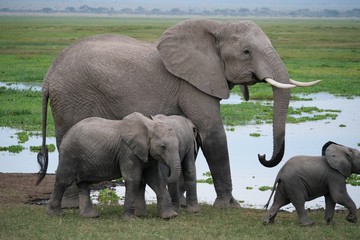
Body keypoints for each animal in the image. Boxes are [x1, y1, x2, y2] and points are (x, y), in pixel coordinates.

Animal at [36, 18, 318, 208]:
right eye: (246, 52)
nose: (262, 155)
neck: (216, 28)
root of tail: (49, 76)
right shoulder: (192, 83)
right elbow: (212, 133)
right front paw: (229, 206)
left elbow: (194, 139)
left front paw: (181, 202)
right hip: (72, 97)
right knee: (68, 140)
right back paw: (71, 205)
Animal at [47, 112, 183, 219]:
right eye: (163, 147)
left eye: (178, 145)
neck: (149, 126)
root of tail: (67, 133)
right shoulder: (128, 151)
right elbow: (133, 179)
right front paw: (129, 219)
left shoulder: (149, 154)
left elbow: (156, 180)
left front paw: (170, 216)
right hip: (70, 154)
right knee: (63, 180)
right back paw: (56, 214)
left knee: (84, 184)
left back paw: (91, 216)